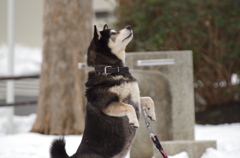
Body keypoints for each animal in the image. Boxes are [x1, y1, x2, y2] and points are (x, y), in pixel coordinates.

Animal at [49, 24, 157, 158]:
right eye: (113, 33)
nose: (129, 26)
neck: (111, 69)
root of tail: (75, 155)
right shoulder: (108, 106)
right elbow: (130, 107)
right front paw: (134, 121)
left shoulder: (134, 97)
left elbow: (148, 99)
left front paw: (151, 113)